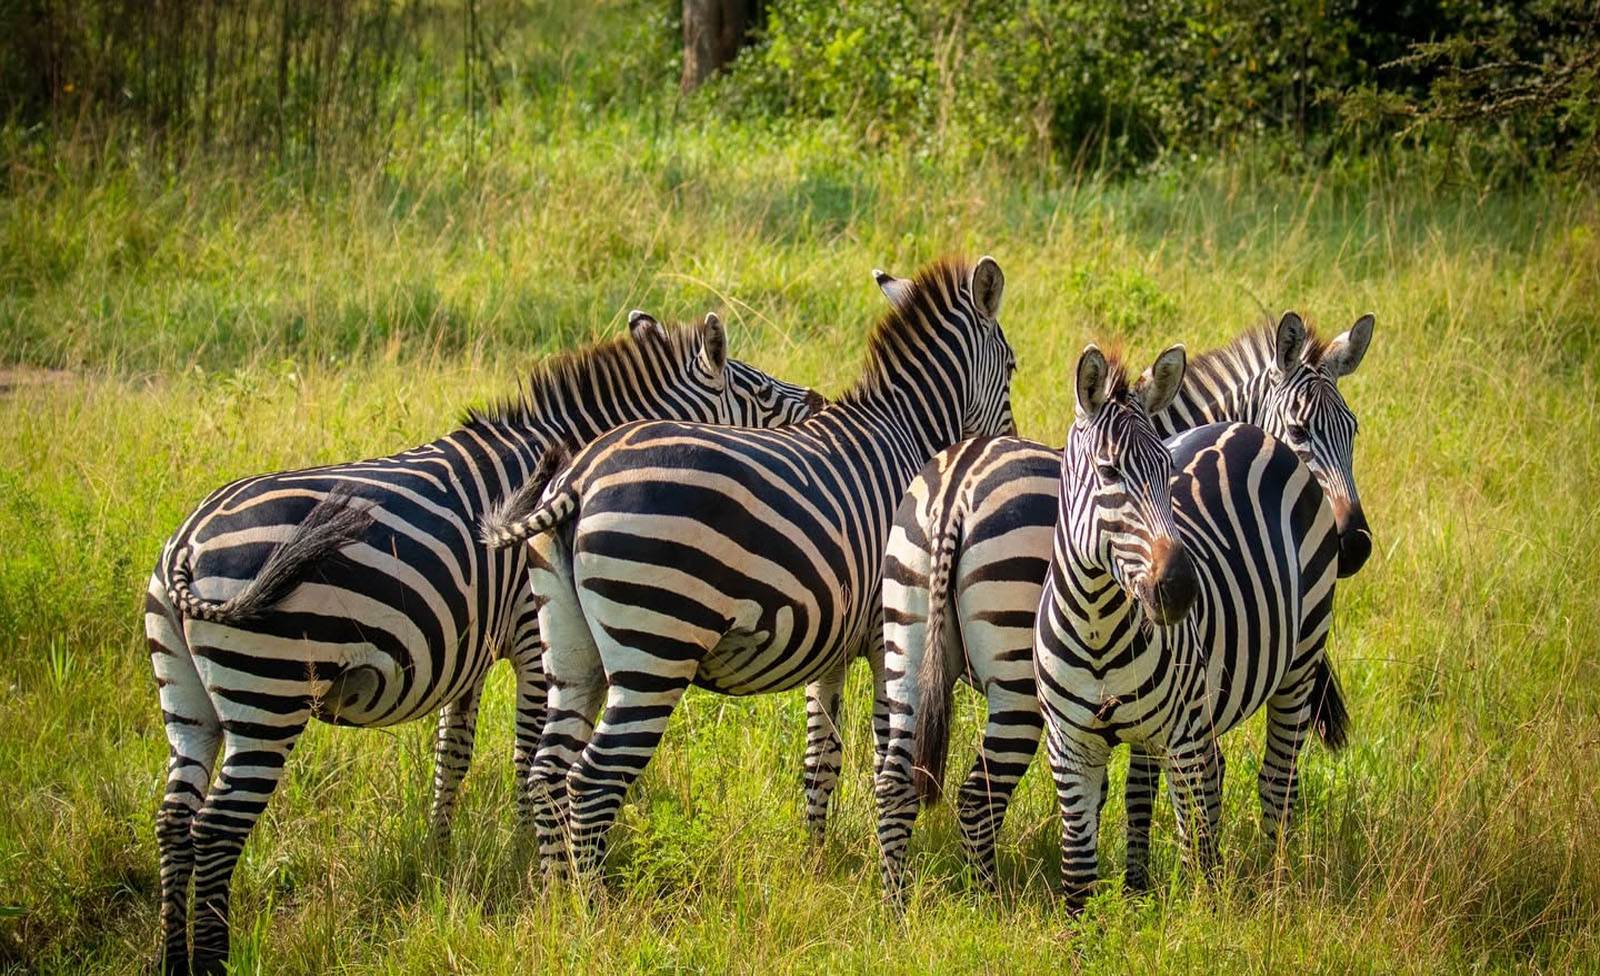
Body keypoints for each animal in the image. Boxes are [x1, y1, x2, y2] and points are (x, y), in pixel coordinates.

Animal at [146, 312, 820, 976]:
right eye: (761, 392)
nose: (817, 400)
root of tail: (185, 544)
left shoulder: (462, 650)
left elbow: (453, 755)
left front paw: (439, 853)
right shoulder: (529, 636)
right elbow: (526, 756)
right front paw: (526, 858)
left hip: (189, 699)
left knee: (175, 817)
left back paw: (172, 954)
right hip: (267, 687)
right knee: (216, 826)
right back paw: (212, 958)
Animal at [481, 256, 1017, 876]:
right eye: (1013, 367)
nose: (1004, 448)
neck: (906, 432)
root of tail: (580, 477)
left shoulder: (832, 644)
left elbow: (820, 758)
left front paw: (817, 863)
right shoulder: (891, 631)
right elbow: (888, 756)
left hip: (569, 651)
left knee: (547, 772)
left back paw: (555, 890)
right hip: (654, 646)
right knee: (591, 783)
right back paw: (592, 900)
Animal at [874, 309, 1372, 898]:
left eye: (1352, 431)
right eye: (1297, 432)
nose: (1354, 544)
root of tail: (956, 486)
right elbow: (1147, 790)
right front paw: (1140, 886)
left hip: (907, 647)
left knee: (895, 787)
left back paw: (900, 905)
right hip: (1015, 683)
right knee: (978, 798)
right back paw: (987, 903)